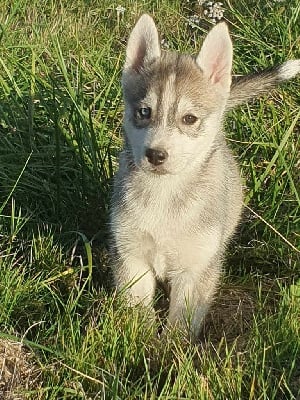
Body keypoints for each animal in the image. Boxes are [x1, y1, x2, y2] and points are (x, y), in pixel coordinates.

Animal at [110, 14, 300, 340]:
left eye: (189, 119)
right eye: (144, 112)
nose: (156, 155)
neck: (164, 194)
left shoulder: (196, 269)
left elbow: (180, 325)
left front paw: (168, 351)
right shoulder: (132, 256)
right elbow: (136, 313)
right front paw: (137, 343)